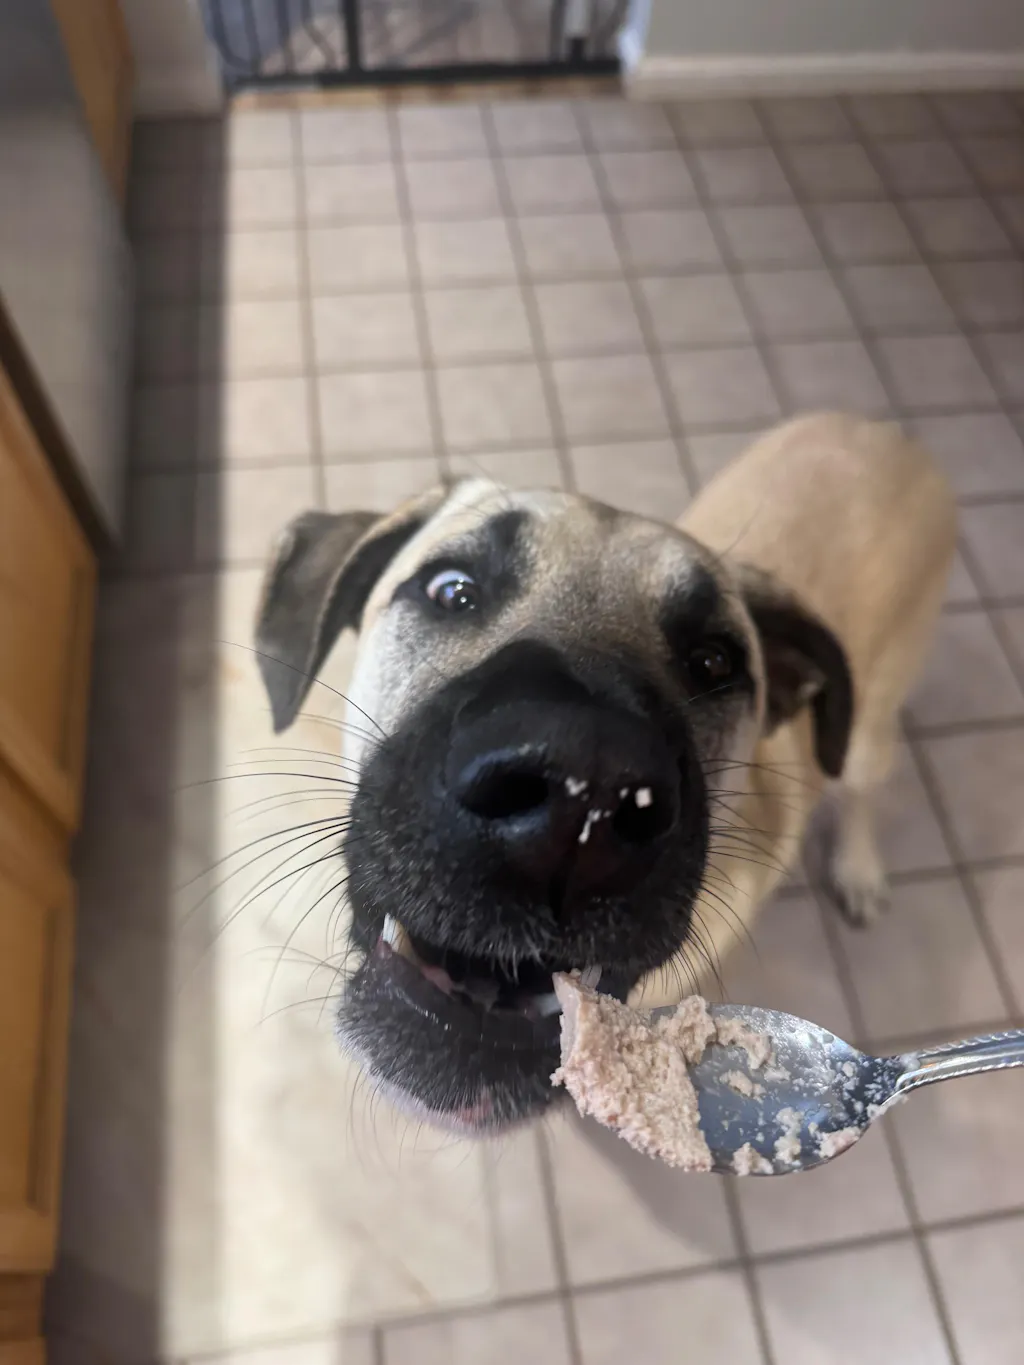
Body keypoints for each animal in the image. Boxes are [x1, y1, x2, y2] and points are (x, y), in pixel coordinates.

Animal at [255, 412, 956, 1134]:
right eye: (451, 590)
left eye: (714, 661)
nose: (581, 789)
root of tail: (882, 430)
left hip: (869, 728)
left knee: (863, 787)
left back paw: (859, 868)